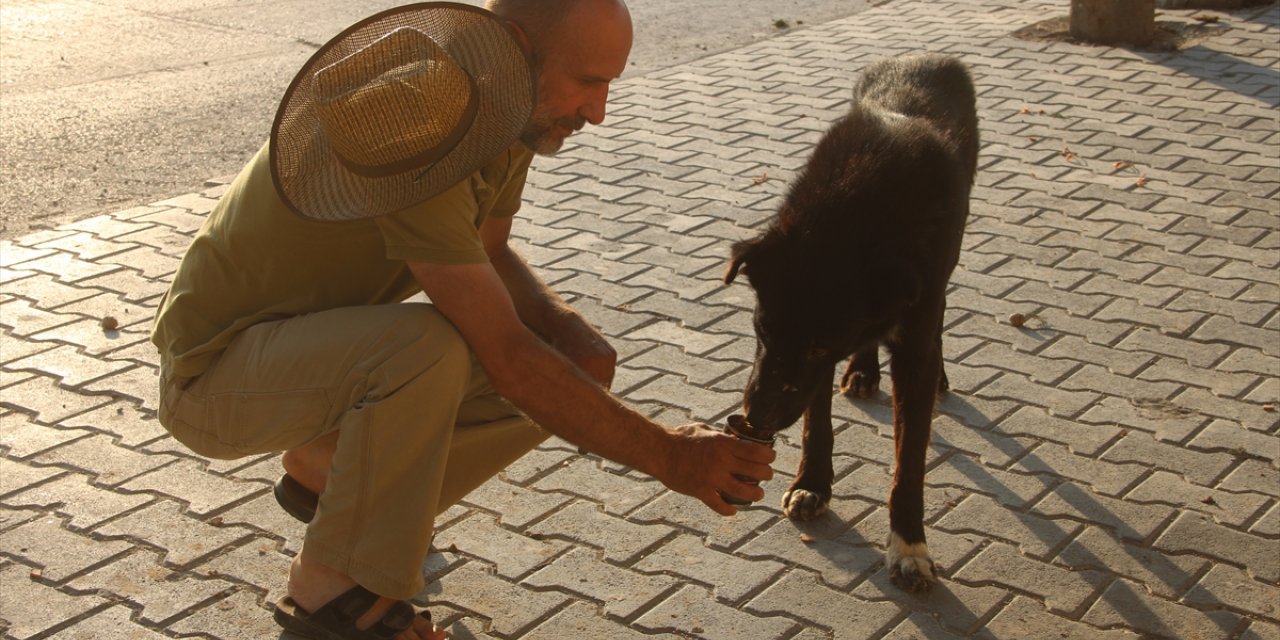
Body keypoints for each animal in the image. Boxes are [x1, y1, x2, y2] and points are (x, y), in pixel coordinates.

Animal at [721, 56, 977, 593]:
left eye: (819, 346)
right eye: (762, 331)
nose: (756, 418)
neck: (853, 211)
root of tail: (920, 58)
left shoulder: (908, 333)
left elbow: (909, 461)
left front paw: (909, 547)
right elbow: (816, 423)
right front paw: (812, 484)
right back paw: (862, 370)